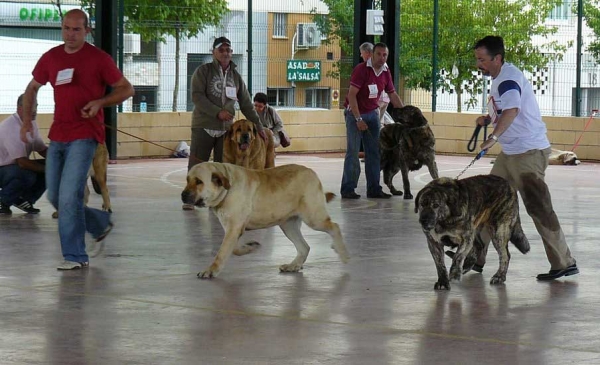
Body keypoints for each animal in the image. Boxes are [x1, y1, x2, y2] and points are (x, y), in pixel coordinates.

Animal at [180, 161, 350, 278]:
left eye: (199, 181)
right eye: (187, 180)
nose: (183, 195)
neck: (226, 188)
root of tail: (312, 172)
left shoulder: (234, 228)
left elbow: (222, 252)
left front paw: (210, 270)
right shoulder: (232, 228)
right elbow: (233, 249)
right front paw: (250, 247)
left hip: (313, 217)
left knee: (334, 227)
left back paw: (342, 252)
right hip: (288, 225)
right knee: (304, 247)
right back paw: (293, 266)